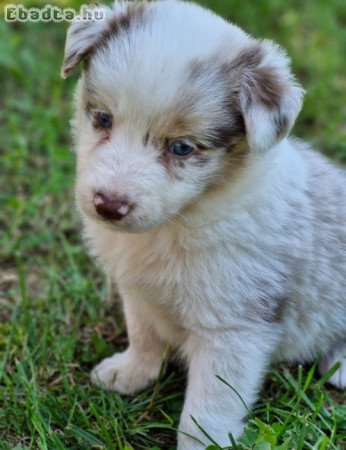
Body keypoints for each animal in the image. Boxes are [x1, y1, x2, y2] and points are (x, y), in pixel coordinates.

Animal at [61, 1, 346, 448]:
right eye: (103, 118)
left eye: (182, 147)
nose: (108, 205)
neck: (181, 220)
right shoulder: (138, 293)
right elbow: (144, 335)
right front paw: (130, 373)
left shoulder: (232, 329)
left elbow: (207, 410)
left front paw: (201, 443)